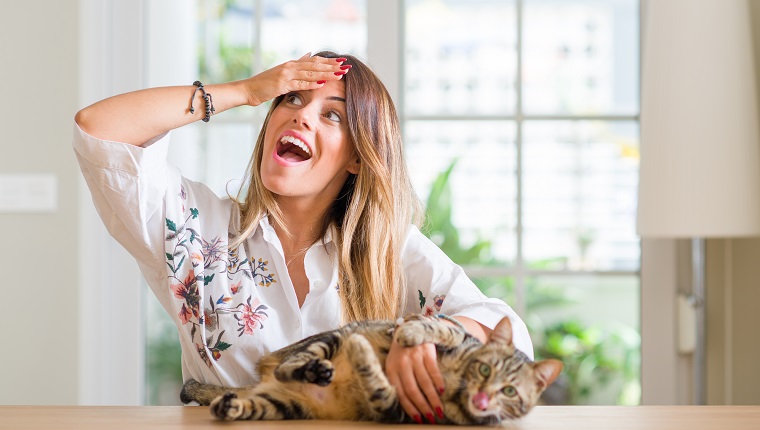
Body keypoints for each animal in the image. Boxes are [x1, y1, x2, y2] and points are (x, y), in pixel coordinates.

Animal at [181, 314, 564, 424]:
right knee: (291, 365)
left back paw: (229, 406)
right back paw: (315, 369)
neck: (457, 386)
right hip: (328, 339)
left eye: (510, 391)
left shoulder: (398, 411)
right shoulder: (457, 334)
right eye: (485, 370)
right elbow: (437, 326)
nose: (484, 397)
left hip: (283, 405)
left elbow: (379, 386)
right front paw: (409, 334)